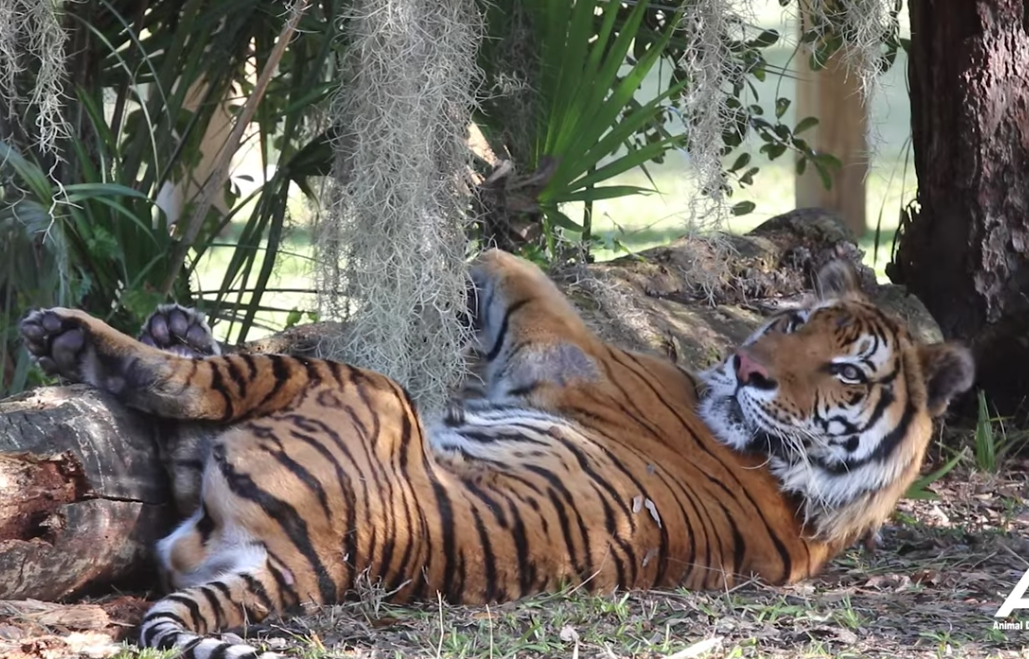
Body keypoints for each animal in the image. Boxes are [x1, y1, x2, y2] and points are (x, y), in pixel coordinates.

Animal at [20, 248, 975, 659]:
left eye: (844, 369)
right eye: (790, 319)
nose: (747, 369)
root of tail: (307, 560)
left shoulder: (568, 346)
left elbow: (513, 263)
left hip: (347, 384)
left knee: (187, 390)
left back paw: (72, 334)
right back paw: (172, 327)